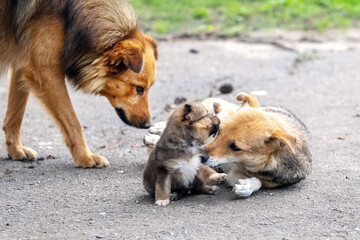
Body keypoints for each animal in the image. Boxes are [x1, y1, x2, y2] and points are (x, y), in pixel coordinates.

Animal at [0, 0, 158, 167]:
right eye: (139, 89)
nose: (148, 125)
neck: (72, 11)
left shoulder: (23, 62)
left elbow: (15, 114)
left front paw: (15, 149)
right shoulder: (46, 73)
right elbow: (72, 122)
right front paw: (85, 157)